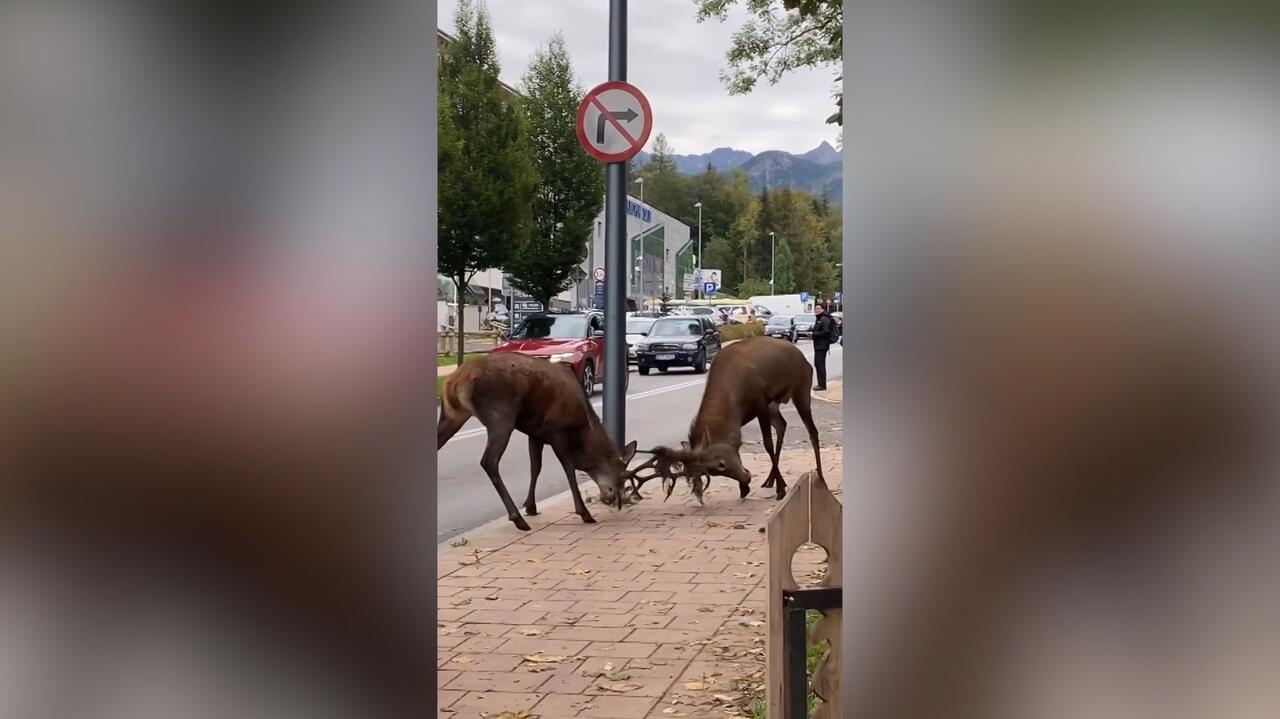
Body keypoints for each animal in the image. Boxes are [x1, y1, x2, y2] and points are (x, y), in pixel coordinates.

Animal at [440, 350, 640, 527]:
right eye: (621, 473)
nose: (614, 496)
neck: (582, 430)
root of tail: (454, 381)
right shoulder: (556, 429)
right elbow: (568, 467)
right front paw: (584, 513)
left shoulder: (535, 434)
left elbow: (535, 467)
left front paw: (531, 506)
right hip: (500, 415)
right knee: (489, 461)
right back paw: (517, 518)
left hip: (452, 414)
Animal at [632, 335, 829, 498]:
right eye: (711, 472)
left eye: (721, 464)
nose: (747, 478)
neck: (733, 396)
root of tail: (803, 359)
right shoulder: (744, 416)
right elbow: (740, 443)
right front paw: (745, 488)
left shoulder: (760, 402)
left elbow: (767, 444)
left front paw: (780, 490)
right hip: (774, 404)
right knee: (782, 425)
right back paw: (769, 480)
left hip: (801, 389)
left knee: (812, 431)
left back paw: (820, 477)